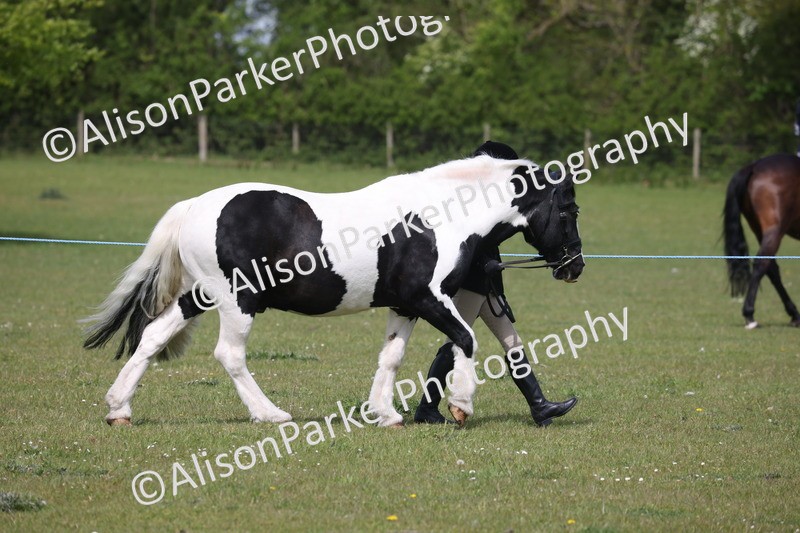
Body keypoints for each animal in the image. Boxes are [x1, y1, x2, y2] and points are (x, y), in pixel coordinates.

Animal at [83, 149, 584, 428]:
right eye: (568, 210)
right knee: (230, 355)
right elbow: (465, 339)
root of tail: (193, 206)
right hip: (236, 300)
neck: (438, 216)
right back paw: (271, 414)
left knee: (152, 336)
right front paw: (461, 405)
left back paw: (118, 409)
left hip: (200, 295)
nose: (574, 267)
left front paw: (386, 415)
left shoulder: (404, 305)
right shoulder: (428, 297)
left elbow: (393, 357)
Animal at [723, 153, 800, 328]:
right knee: (762, 263)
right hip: (774, 230)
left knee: (771, 268)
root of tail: (754, 166)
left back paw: (794, 314)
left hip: (759, 229)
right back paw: (749, 314)